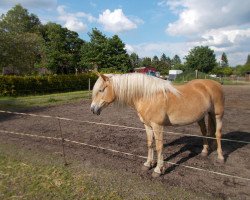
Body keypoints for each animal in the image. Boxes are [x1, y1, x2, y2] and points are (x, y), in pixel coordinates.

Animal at [91, 72, 226, 177]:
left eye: (101, 90)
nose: (93, 109)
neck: (147, 96)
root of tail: (215, 84)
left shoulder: (158, 126)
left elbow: (159, 147)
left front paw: (158, 170)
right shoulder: (147, 125)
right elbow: (150, 144)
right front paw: (148, 164)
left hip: (218, 115)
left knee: (218, 134)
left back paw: (220, 158)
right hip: (201, 117)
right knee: (205, 132)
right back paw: (204, 151)